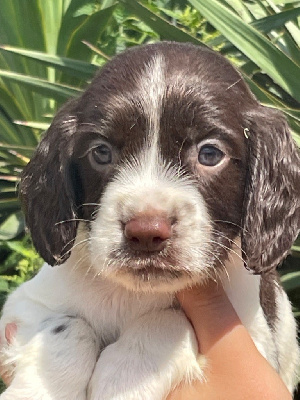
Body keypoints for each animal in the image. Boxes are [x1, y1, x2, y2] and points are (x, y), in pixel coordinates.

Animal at [0, 42, 300, 398]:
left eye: (210, 154)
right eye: (101, 152)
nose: (145, 232)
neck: (137, 294)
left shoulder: (255, 340)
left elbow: (169, 320)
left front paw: (124, 376)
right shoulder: (23, 305)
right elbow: (69, 327)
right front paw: (37, 390)